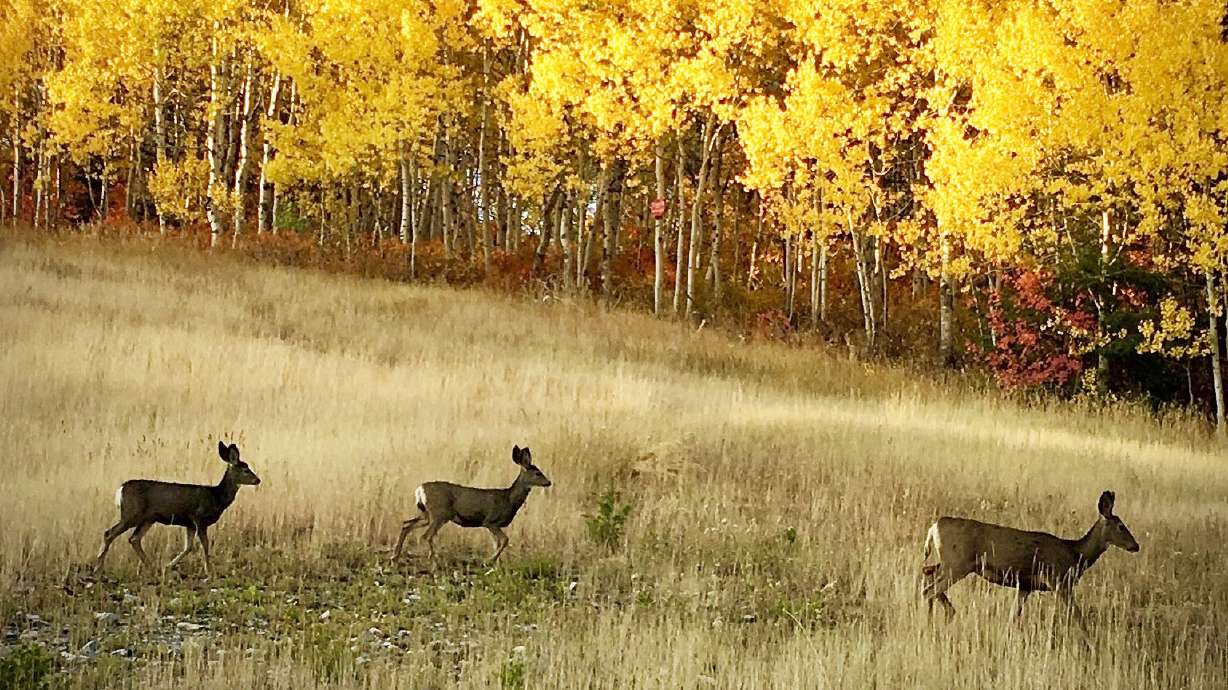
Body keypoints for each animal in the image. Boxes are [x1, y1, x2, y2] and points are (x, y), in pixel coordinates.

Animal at [93, 442, 262, 579]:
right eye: (246, 470)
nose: (258, 480)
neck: (217, 497)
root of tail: (120, 490)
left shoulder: (190, 524)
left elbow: (188, 547)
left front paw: (168, 566)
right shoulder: (199, 518)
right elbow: (205, 545)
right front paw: (209, 571)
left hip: (148, 518)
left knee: (134, 539)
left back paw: (152, 566)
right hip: (131, 513)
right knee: (109, 533)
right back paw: (98, 567)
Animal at [391, 445, 552, 565]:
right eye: (538, 473)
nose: (549, 482)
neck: (509, 499)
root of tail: (420, 489)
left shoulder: (492, 525)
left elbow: (497, 543)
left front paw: (496, 564)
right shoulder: (490, 521)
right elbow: (505, 540)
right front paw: (490, 560)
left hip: (426, 514)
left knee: (406, 525)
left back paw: (395, 557)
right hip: (440, 513)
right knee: (426, 535)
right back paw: (434, 561)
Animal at [921, 490, 1139, 635]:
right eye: (1121, 526)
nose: (1136, 546)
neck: (1076, 554)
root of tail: (934, 527)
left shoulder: (1026, 586)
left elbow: (1013, 617)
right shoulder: (1059, 581)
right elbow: (1077, 616)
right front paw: (1091, 644)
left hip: (949, 562)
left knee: (927, 574)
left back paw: (943, 616)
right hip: (958, 564)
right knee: (929, 589)